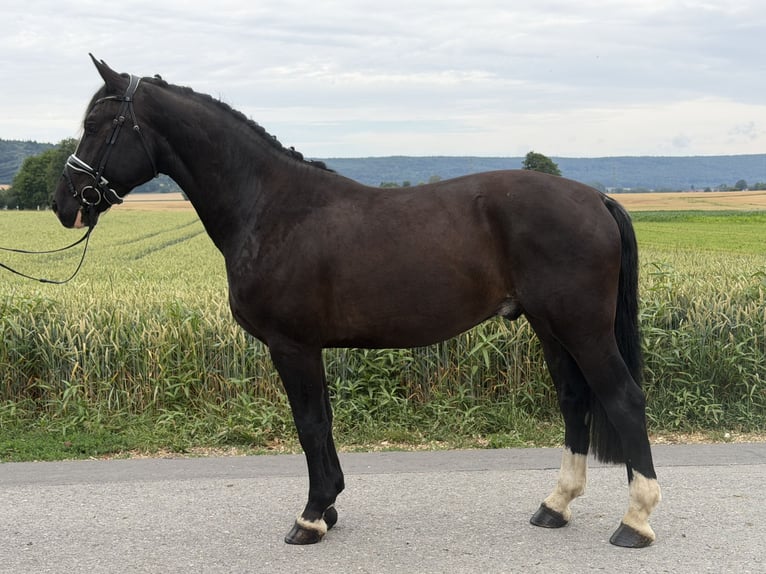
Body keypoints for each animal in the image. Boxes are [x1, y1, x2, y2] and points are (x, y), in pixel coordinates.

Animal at [52, 56, 661, 548]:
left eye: (96, 126)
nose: (65, 204)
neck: (271, 208)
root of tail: (596, 198)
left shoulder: (292, 346)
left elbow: (309, 424)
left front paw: (311, 518)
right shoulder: (307, 348)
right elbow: (320, 421)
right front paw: (329, 507)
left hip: (581, 327)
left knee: (624, 399)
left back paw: (635, 521)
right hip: (549, 326)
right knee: (575, 400)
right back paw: (554, 506)